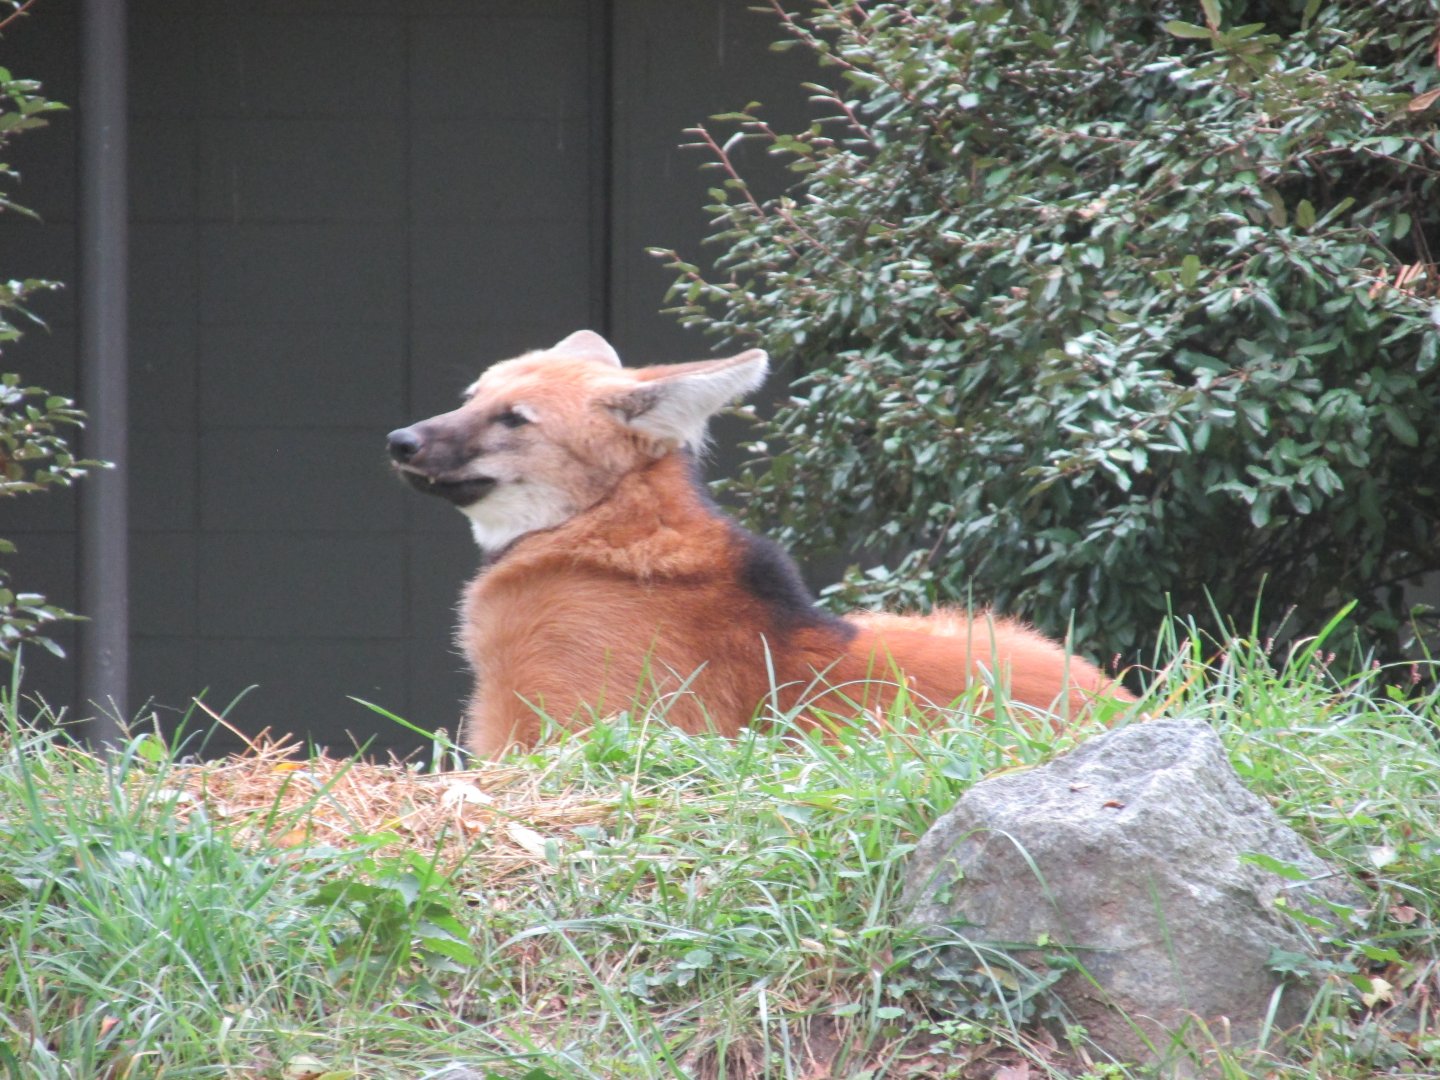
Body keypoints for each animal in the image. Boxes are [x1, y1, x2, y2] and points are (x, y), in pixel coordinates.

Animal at [388, 330, 1131, 757]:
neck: (599, 527)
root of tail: (1130, 704)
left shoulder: (557, 725)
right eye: (471, 396)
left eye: (514, 419)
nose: (401, 441)